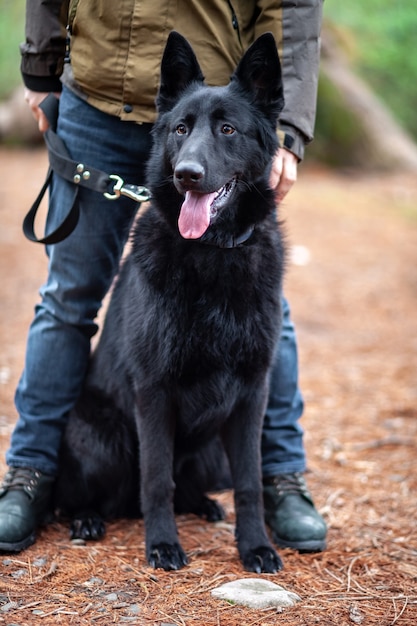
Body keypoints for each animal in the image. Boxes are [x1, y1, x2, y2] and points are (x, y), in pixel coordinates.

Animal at [54, 31, 286, 572]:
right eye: (181, 129)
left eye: (227, 129)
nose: (187, 174)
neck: (213, 253)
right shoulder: (154, 391)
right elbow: (157, 479)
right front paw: (162, 544)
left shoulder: (251, 395)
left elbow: (249, 483)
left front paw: (256, 546)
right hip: (101, 438)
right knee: (83, 496)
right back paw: (87, 518)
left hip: (211, 449)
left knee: (190, 486)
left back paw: (203, 505)